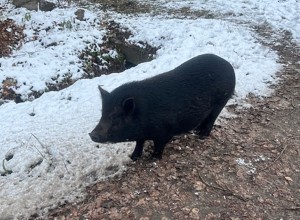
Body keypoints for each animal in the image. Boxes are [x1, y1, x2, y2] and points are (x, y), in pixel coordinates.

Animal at [89, 53, 234, 160]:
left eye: (115, 116)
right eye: (102, 114)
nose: (92, 134)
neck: (143, 115)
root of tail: (228, 65)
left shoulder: (164, 133)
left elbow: (158, 145)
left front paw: (153, 159)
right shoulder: (141, 135)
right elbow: (139, 143)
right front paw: (133, 157)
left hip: (221, 101)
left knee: (212, 119)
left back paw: (202, 135)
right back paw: (196, 131)